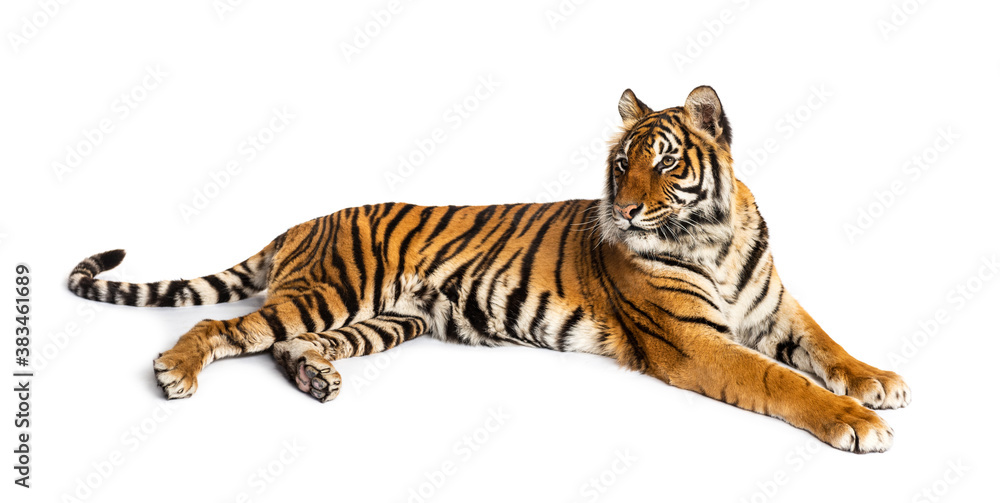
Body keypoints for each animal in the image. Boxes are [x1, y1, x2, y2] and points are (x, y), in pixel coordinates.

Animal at [68, 85, 910, 453]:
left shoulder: (773, 307)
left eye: (666, 163)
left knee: (283, 343)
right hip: (332, 289)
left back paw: (315, 379)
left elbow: (826, 345)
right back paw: (176, 371)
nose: (627, 209)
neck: (715, 235)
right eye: (622, 164)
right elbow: (781, 379)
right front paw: (857, 421)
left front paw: (879, 382)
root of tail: (300, 223)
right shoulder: (693, 340)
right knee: (226, 323)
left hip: (388, 318)